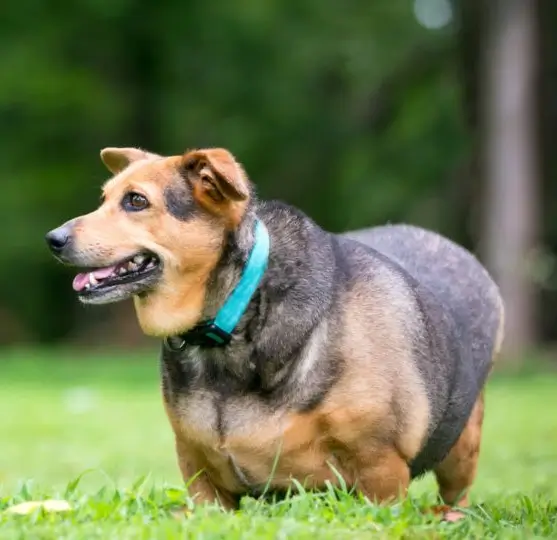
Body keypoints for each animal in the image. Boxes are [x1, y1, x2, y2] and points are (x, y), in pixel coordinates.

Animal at [46, 148, 504, 520]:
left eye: (136, 201)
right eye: (104, 199)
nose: (53, 239)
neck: (232, 319)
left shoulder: (381, 472)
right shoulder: (200, 477)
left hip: (462, 449)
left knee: (457, 494)